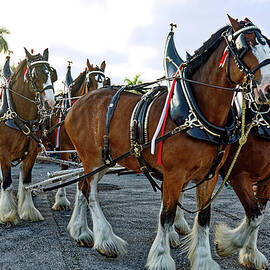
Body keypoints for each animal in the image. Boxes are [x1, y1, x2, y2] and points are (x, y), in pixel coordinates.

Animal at [0, 48, 56, 226]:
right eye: (35, 75)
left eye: (51, 73)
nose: (50, 102)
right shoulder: (3, 153)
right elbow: (7, 183)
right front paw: (7, 214)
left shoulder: (31, 153)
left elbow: (26, 182)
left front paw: (29, 210)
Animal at [46, 59, 108, 211]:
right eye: (89, 82)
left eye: (105, 82)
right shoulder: (64, 147)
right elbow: (64, 169)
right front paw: (61, 200)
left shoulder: (83, 149)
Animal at [64, 15, 270, 268]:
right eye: (245, 47)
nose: (267, 90)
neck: (194, 112)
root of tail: (78, 102)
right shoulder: (178, 174)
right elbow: (167, 215)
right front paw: (162, 257)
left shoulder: (210, 175)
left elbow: (205, 216)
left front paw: (205, 258)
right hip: (92, 158)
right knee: (91, 193)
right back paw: (105, 239)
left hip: (104, 160)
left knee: (82, 187)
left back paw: (81, 231)